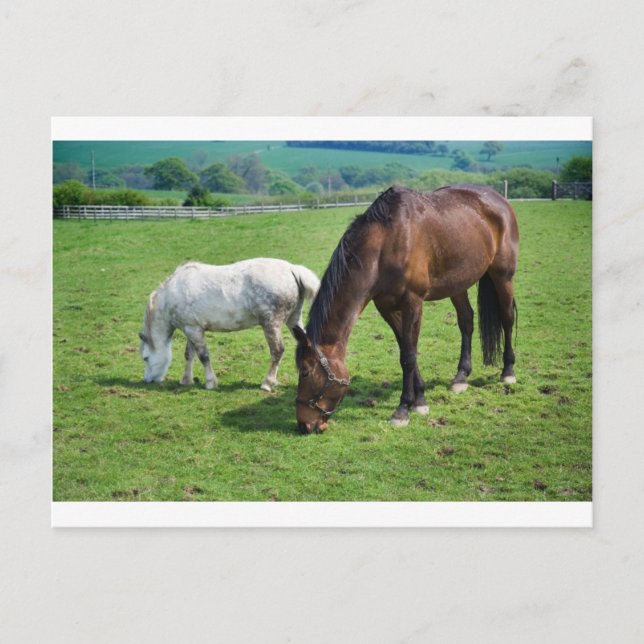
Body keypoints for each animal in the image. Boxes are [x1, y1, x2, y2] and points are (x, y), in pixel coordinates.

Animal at [139, 258, 320, 391]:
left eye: (145, 358)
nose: (148, 380)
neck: (173, 293)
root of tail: (291, 269)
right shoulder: (191, 329)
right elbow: (189, 355)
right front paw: (186, 380)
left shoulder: (194, 330)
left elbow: (204, 356)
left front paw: (210, 382)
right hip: (293, 320)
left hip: (271, 324)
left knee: (277, 351)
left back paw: (267, 383)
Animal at [293, 184, 519, 434]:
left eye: (305, 371)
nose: (304, 425)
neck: (386, 244)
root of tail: (498, 198)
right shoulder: (387, 307)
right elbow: (406, 348)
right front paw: (419, 399)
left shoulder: (413, 302)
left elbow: (408, 356)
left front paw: (402, 409)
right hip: (457, 284)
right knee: (466, 321)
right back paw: (461, 377)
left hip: (503, 275)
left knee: (507, 318)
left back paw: (508, 371)